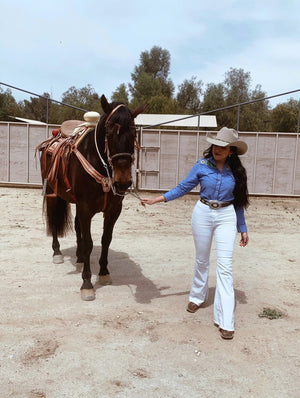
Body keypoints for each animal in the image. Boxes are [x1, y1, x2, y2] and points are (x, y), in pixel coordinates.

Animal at [37, 95, 146, 300]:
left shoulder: (112, 210)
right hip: (53, 193)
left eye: (134, 133)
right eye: (109, 133)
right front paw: (87, 284)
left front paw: (104, 273)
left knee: (77, 226)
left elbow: (105, 239)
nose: (123, 181)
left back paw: (79, 258)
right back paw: (57, 253)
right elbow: (89, 243)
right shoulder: (86, 208)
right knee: (54, 220)